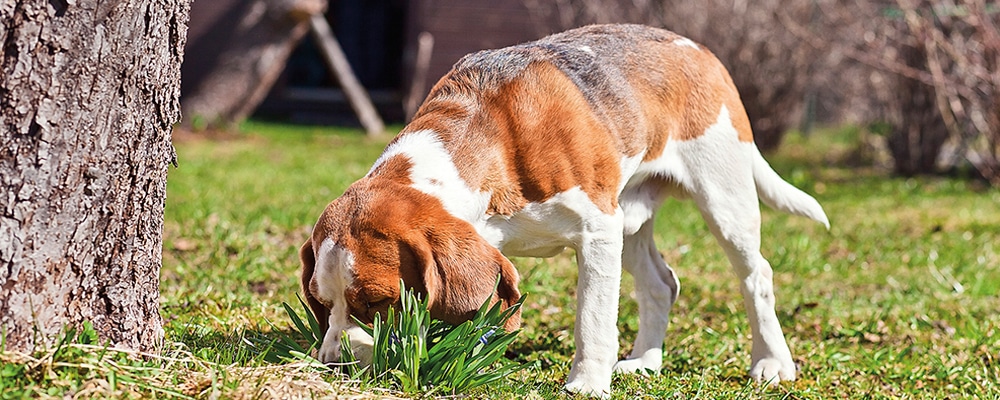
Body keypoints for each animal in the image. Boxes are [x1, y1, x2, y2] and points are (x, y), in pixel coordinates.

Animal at [298, 25, 828, 396]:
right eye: (320, 304)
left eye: (376, 304)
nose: (333, 364)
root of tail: (699, 49)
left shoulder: (597, 232)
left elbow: (592, 319)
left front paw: (587, 384)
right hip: (631, 218)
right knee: (661, 285)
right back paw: (646, 361)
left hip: (723, 200)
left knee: (756, 276)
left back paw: (771, 362)